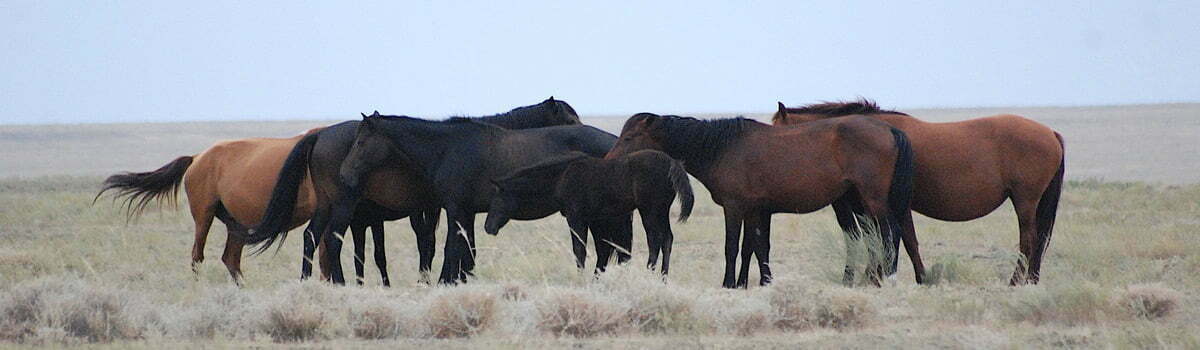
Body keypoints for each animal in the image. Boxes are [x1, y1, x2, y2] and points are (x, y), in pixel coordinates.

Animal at [484, 149, 696, 274]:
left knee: (654, 241)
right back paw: (663, 277)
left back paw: (649, 272)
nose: (487, 227)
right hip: (661, 212)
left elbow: (580, 251)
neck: (562, 177)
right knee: (667, 240)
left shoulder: (576, 218)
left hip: (650, 212)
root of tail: (672, 163)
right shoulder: (595, 220)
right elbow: (602, 251)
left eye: (497, 200)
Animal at [604, 113, 912, 288]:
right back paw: (868, 278)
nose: (608, 160)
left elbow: (732, 247)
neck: (723, 148)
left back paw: (887, 278)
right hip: (856, 200)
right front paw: (759, 281)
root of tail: (889, 130)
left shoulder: (734, 208)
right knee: (872, 235)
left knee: (889, 233)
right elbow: (756, 247)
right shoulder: (756, 210)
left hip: (872, 199)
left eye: (630, 137)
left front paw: (729, 283)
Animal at [777, 98, 1070, 284]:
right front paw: (919, 277)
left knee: (1029, 240)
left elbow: (899, 239)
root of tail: (1051, 133)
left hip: (1025, 201)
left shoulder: (890, 204)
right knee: (1039, 240)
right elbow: (903, 240)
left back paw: (1016, 280)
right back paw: (1031, 280)